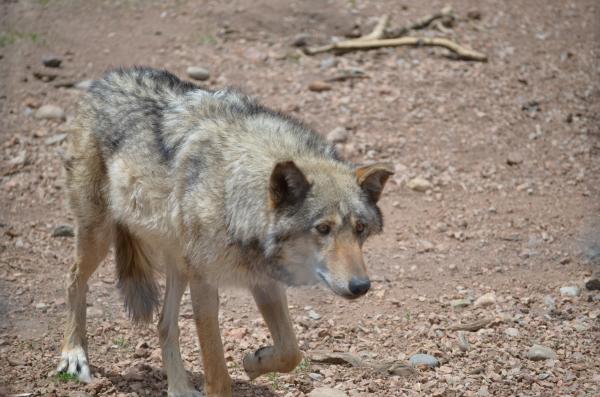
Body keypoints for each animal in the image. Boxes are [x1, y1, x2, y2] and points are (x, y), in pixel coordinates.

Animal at [57, 67, 394, 396]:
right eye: (323, 228)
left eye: (360, 229)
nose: (361, 286)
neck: (233, 193)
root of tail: (105, 80)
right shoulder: (205, 284)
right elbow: (218, 377)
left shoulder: (264, 281)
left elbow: (290, 352)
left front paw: (254, 362)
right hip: (99, 236)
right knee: (73, 279)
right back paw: (73, 354)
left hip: (179, 263)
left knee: (164, 324)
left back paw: (180, 389)